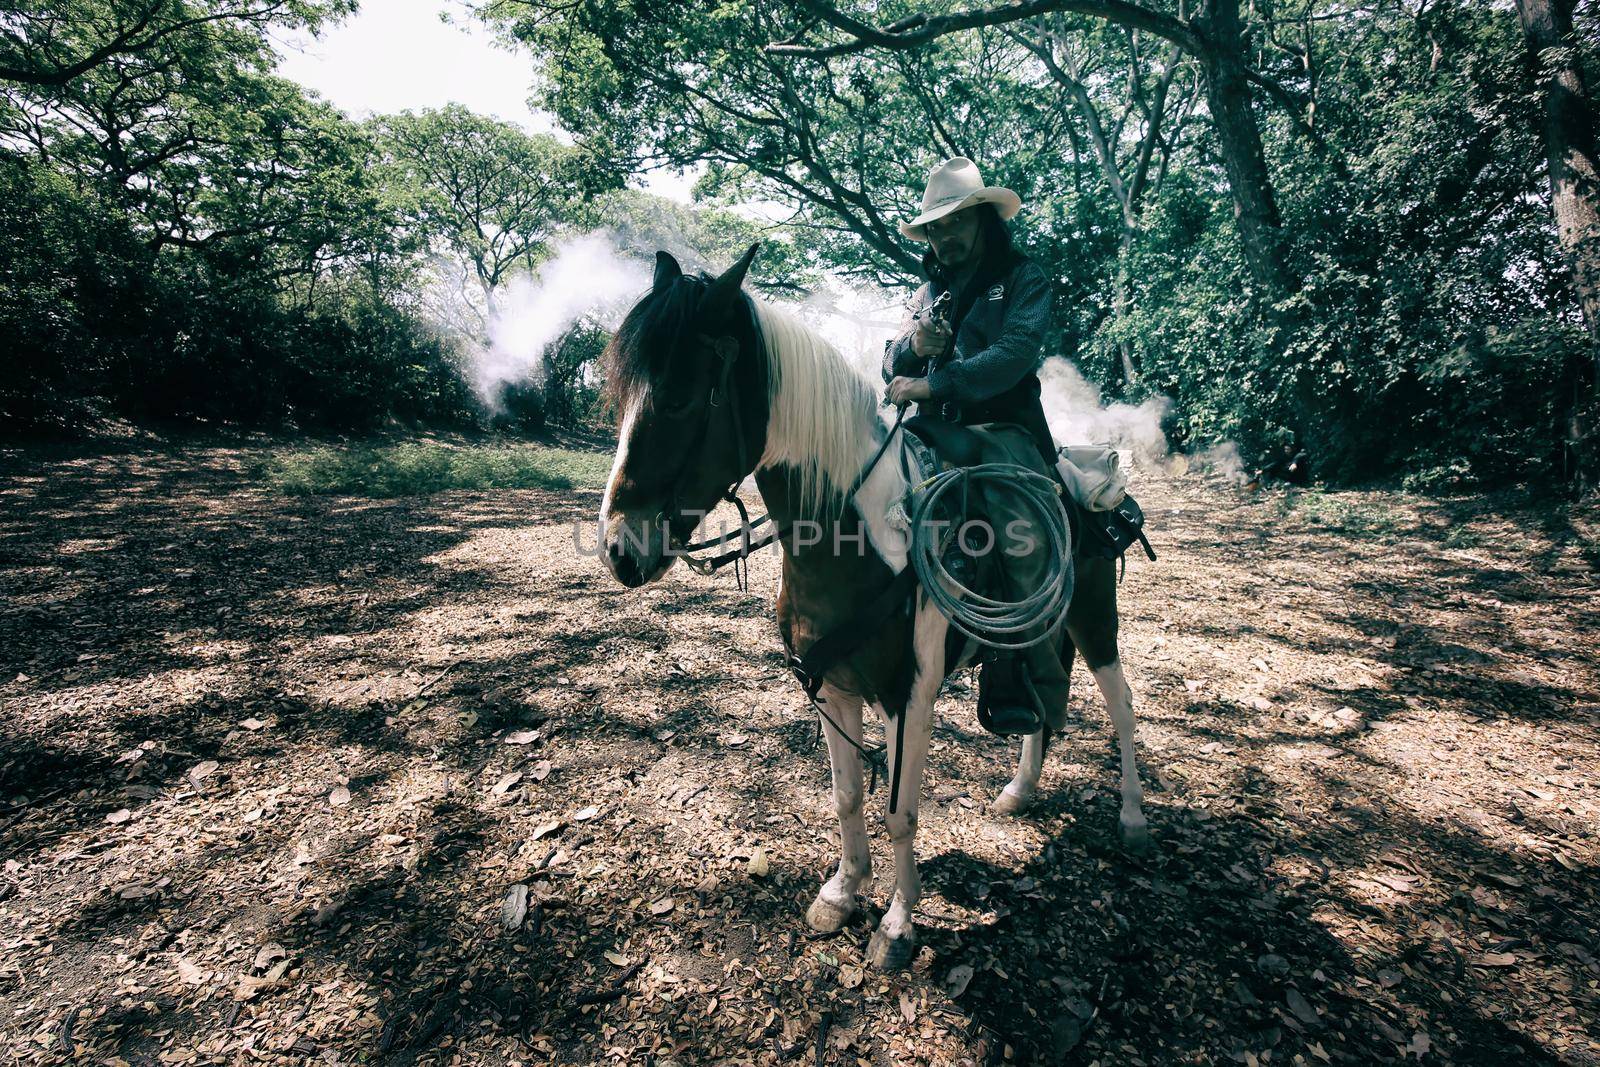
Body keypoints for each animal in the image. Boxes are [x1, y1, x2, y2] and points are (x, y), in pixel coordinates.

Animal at [595, 244, 1145, 966]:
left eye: (682, 397)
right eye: (621, 396)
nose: (618, 549)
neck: (853, 539)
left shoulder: (908, 695)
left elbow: (900, 813)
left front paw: (898, 923)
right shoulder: (829, 684)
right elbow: (849, 796)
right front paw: (842, 890)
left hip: (1093, 618)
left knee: (1121, 703)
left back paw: (1133, 815)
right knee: (1045, 697)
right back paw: (1020, 790)